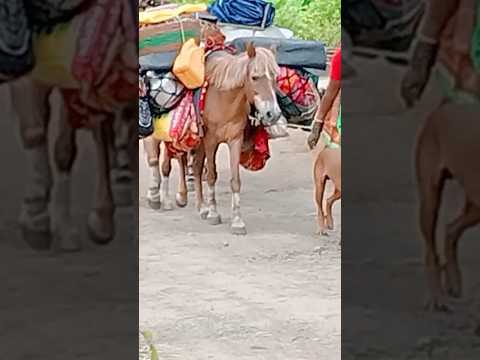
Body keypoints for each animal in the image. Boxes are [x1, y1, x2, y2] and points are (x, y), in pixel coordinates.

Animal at [191, 43, 282, 235]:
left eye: (275, 77)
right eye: (255, 77)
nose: (273, 114)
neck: (223, 98)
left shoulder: (235, 140)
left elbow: (235, 181)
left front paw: (237, 221)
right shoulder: (211, 140)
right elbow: (211, 175)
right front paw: (214, 213)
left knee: (196, 166)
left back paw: (201, 207)